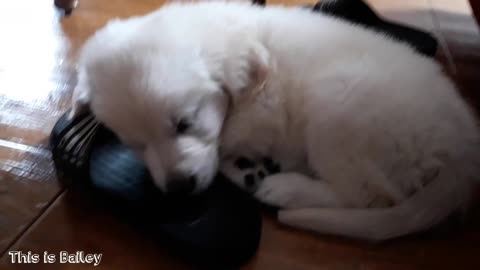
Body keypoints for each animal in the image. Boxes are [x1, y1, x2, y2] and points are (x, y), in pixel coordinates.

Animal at [71, 0, 480, 240]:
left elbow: (228, 141)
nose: (178, 188)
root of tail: (464, 151)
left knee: (369, 195)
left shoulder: (261, 114)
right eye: (135, 144)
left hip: (340, 105)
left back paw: (282, 187)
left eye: (185, 124)